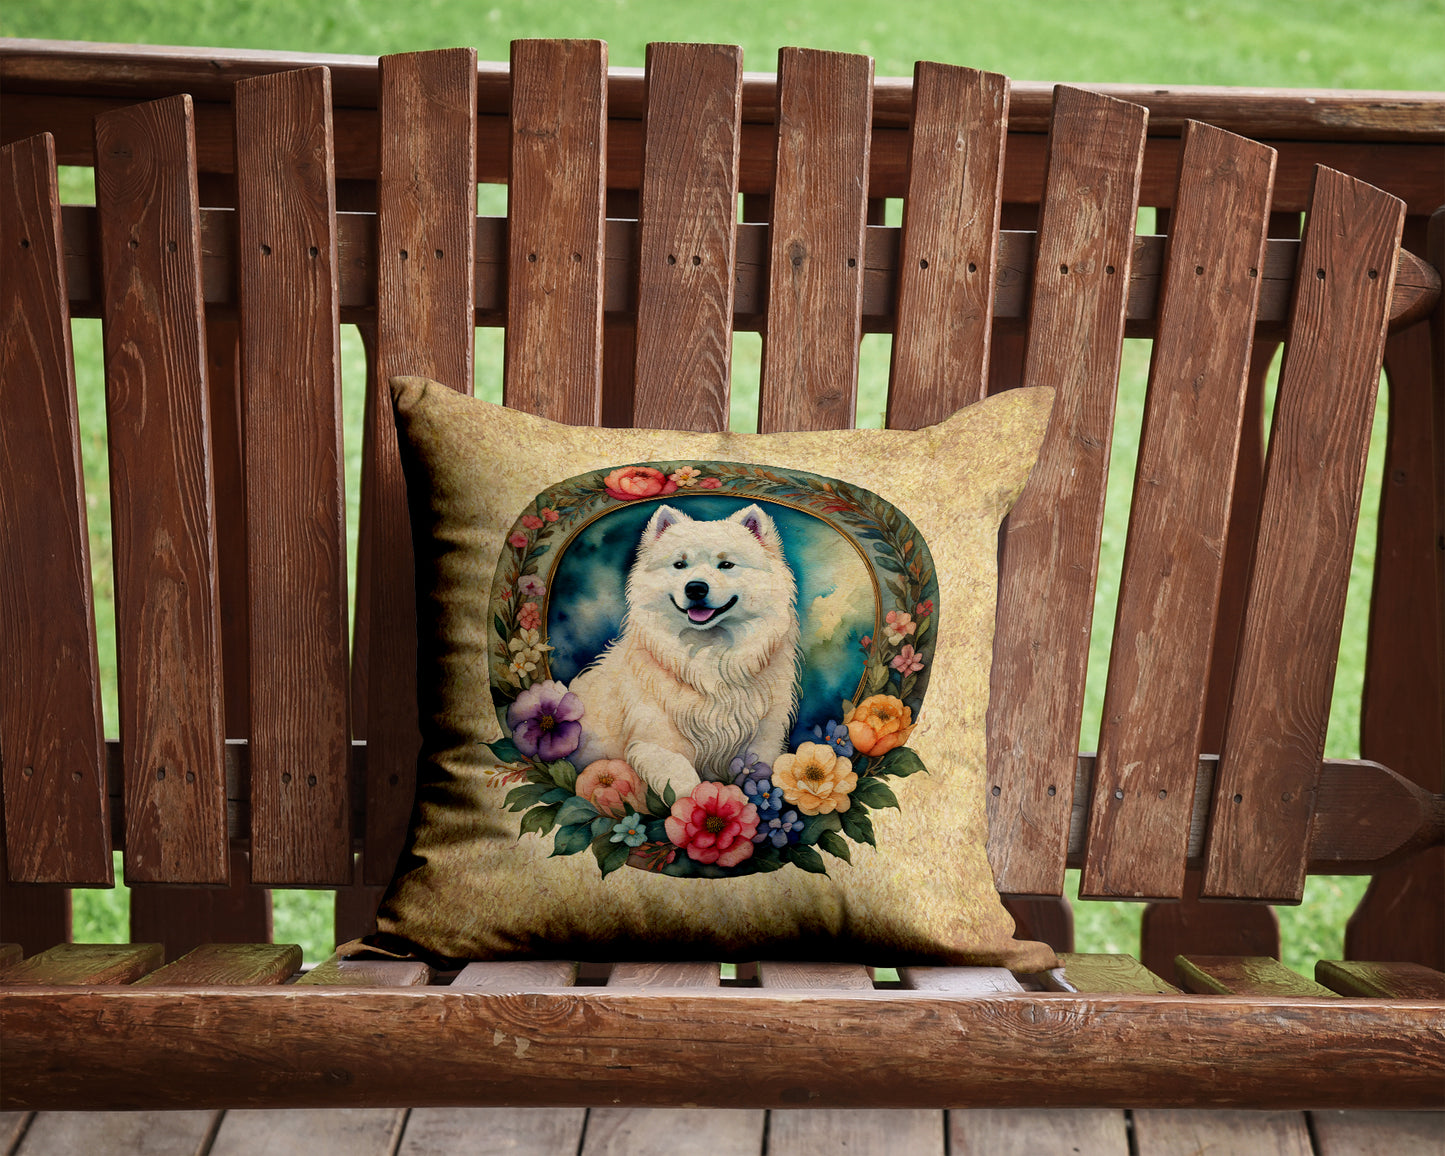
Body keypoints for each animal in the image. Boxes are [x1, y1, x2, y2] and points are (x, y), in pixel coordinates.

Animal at [566, 505, 803, 803]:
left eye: (726, 565)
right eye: (680, 565)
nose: (696, 588)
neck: (708, 655)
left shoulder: (763, 741)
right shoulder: (656, 744)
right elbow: (685, 785)